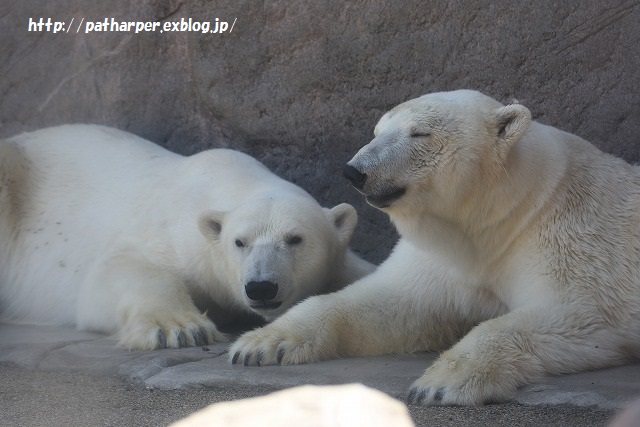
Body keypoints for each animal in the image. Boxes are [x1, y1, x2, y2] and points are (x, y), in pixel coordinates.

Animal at [0, 124, 376, 352]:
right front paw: (180, 329)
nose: (261, 287)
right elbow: (114, 272)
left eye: (295, 239)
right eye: (239, 242)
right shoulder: (172, 236)